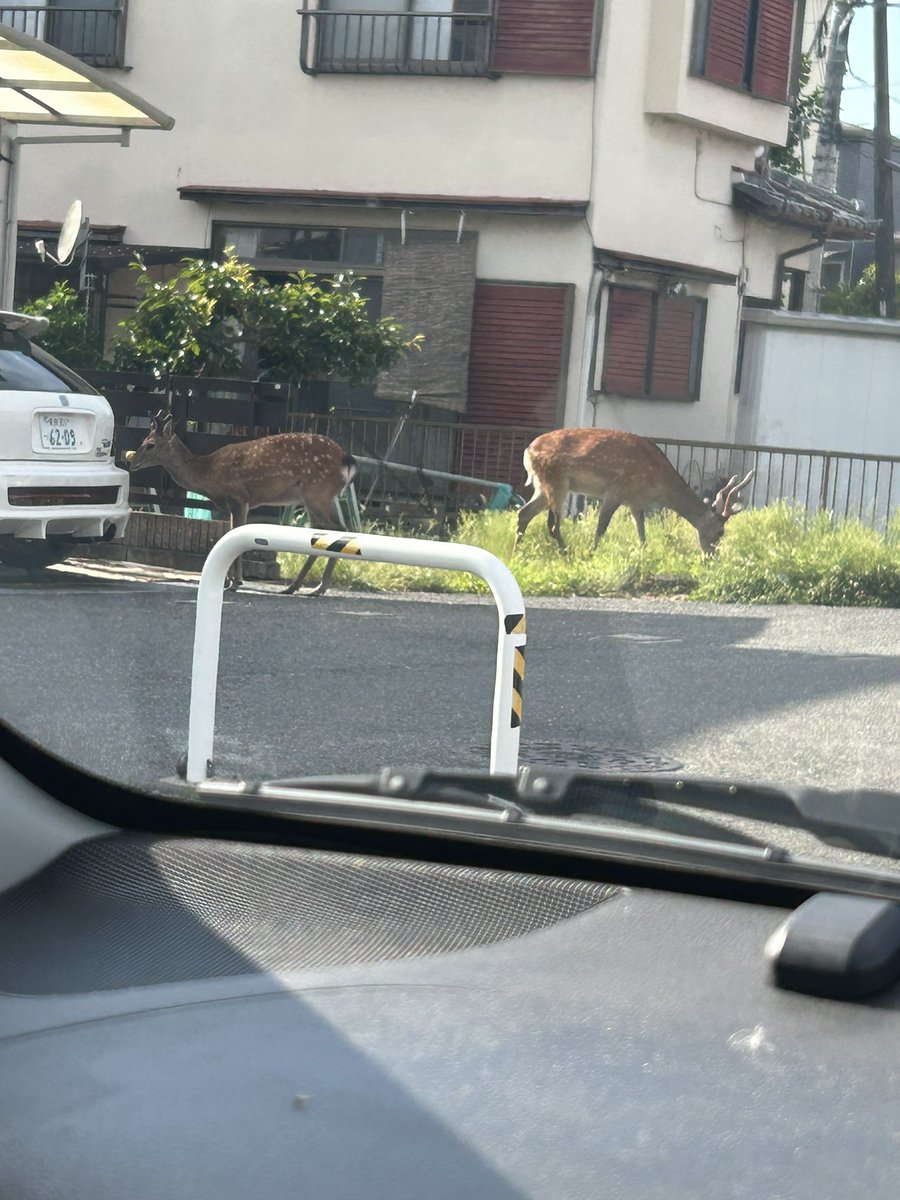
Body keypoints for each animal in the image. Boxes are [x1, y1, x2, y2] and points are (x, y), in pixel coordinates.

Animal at [127, 410, 358, 595]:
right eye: (143, 440)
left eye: (150, 444)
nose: (131, 463)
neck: (207, 472)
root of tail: (347, 460)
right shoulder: (232, 504)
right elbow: (229, 534)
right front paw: (229, 580)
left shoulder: (239, 498)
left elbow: (235, 534)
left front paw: (235, 582)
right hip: (317, 496)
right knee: (324, 530)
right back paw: (295, 587)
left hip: (317, 491)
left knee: (338, 528)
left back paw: (318, 587)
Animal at [515, 427, 753, 556]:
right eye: (721, 531)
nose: (713, 556)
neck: (658, 483)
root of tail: (527, 451)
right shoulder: (616, 490)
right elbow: (601, 528)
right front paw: (591, 554)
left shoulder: (635, 502)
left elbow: (642, 533)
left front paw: (643, 556)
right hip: (556, 480)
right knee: (553, 524)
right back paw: (566, 553)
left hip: (542, 486)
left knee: (524, 513)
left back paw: (517, 550)